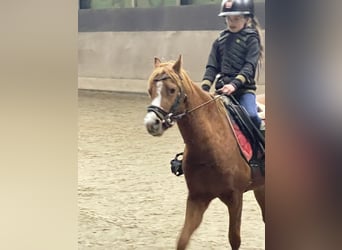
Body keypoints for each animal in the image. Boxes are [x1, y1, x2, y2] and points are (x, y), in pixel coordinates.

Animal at [142, 55, 264, 249]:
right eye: (150, 90)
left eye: (172, 90)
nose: (151, 123)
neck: (211, 146)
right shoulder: (197, 198)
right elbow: (182, 240)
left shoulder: (235, 198)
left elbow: (234, 239)